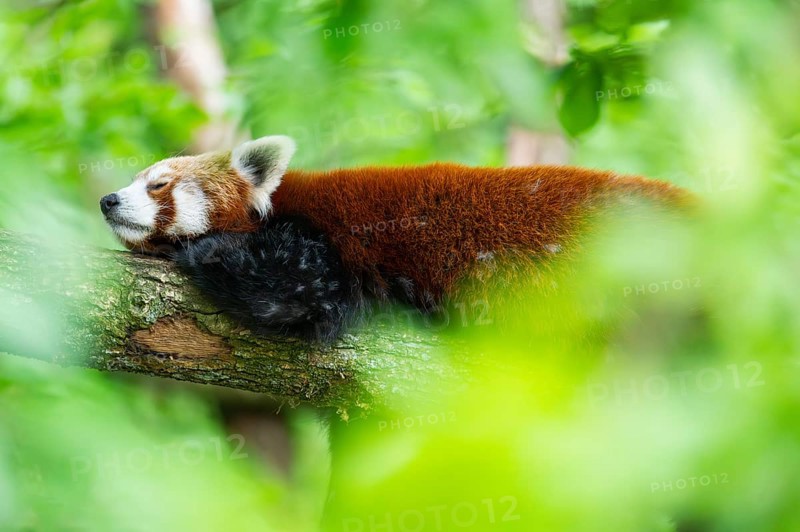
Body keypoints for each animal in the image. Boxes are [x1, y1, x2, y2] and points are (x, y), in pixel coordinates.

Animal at [99, 135, 693, 342]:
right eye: (134, 180)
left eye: (158, 184)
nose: (108, 200)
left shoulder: (325, 244)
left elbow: (294, 294)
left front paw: (199, 250)